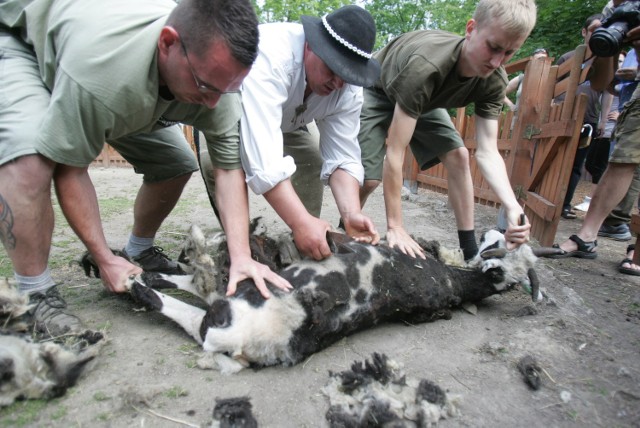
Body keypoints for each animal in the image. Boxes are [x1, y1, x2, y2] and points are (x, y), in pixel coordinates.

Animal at [114, 222, 544, 372]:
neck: (450, 282)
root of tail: (240, 340)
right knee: (192, 289)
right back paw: (144, 274)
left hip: (232, 303)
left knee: (187, 303)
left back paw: (134, 283)